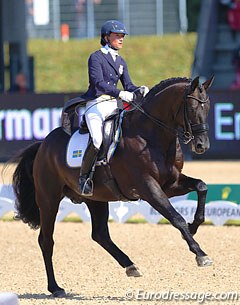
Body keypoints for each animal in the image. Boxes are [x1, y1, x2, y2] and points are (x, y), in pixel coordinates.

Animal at [11, 75, 214, 296]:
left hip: (96, 198)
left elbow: (201, 186)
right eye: (192, 108)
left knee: (100, 234)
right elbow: (176, 218)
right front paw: (201, 254)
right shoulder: (148, 188)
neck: (151, 135)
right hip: (49, 199)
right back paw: (55, 288)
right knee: (46, 240)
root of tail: (43, 144)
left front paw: (194, 226)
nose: (202, 146)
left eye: (208, 107)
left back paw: (130, 266)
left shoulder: (171, 184)